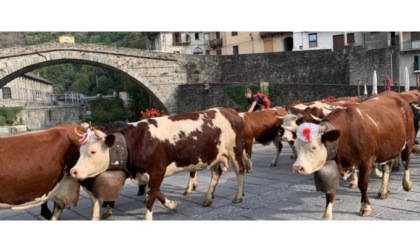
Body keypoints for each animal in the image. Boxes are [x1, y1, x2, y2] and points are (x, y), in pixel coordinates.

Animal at [70, 107, 251, 220]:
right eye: (80, 150)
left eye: (93, 151)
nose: (73, 171)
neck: (134, 143)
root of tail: (229, 110)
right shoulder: (148, 174)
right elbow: (156, 193)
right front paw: (172, 205)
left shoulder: (157, 171)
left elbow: (151, 197)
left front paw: (147, 218)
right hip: (213, 154)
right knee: (216, 173)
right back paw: (207, 199)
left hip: (234, 150)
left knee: (240, 171)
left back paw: (238, 196)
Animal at [292, 91, 414, 220]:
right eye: (296, 146)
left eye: (314, 147)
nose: (297, 168)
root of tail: (395, 95)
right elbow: (330, 192)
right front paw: (327, 215)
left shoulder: (366, 161)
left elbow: (363, 185)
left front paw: (365, 207)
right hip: (388, 147)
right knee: (387, 167)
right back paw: (383, 191)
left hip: (409, 140)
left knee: (406, 161)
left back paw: (407, 183)